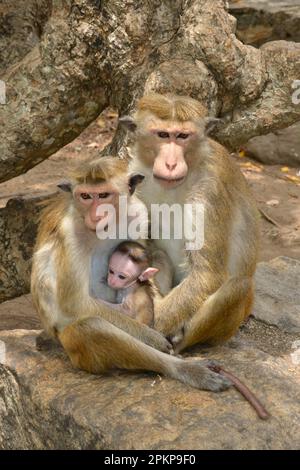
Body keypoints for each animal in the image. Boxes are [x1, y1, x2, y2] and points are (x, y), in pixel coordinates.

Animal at [31, 155, 231, 392]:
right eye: (86, 196)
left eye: (104, 195)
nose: (96, 214)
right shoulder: (70, 230)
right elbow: (75, 304)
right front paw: (152, 337)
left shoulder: (138, 213)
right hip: (69, 345)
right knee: (89, 327)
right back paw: (184, 368)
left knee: (158, 254)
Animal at [120, 92, 260, 352]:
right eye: (163, 135)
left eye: (183, 136)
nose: (171, 164)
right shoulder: (134, 176)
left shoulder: (210, 191)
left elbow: (207, 275)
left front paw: (146, 329)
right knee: (157, 254)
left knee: (237, 287)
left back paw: (177, 342)